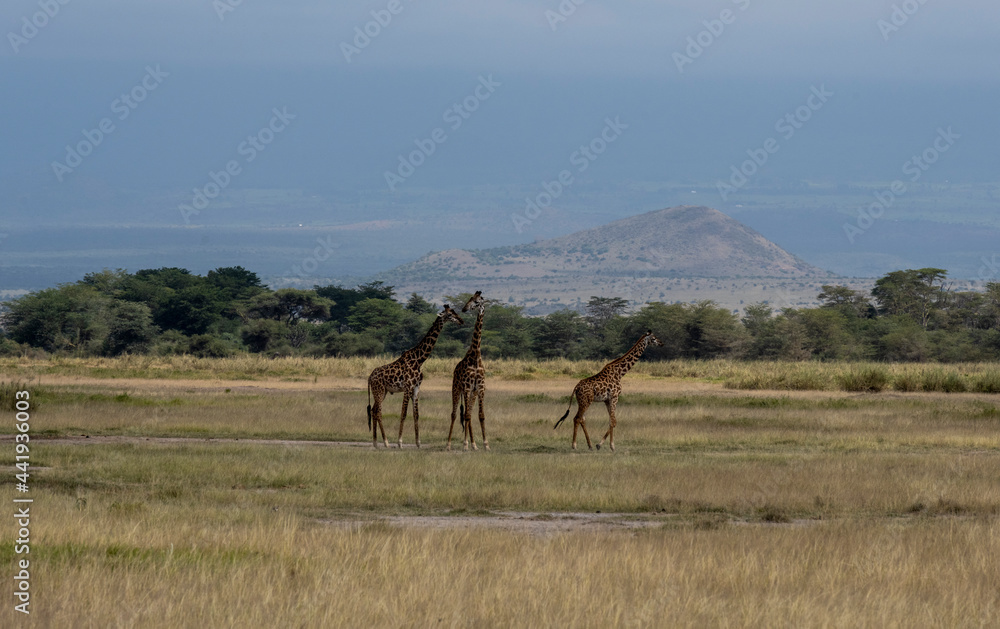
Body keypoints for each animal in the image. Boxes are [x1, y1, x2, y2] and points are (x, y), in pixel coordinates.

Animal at [366, 302, 462, 446]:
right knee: (378, 412)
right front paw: (400, 442)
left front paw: (418, 442)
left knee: (373, 410)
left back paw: (376, 443)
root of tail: (370, 377)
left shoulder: (416, 387)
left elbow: (416, 414)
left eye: (454, 311)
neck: (419, 360)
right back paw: (386, 442)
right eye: (450, 314)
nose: (461, 321)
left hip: (383, 391)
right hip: (379, 390)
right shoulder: (408, 387)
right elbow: (403, 413)